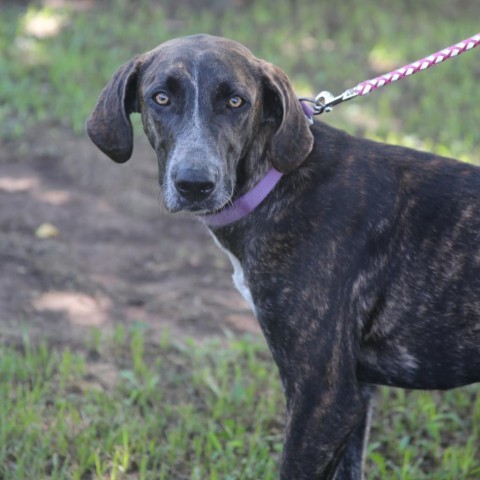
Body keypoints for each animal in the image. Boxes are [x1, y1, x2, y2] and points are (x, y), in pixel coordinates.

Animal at [86, 34, 480, 480]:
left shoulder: (324, 399)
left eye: (236, 102)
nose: (195, 184)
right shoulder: (357, 391)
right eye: (161, 98)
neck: (274, 182)